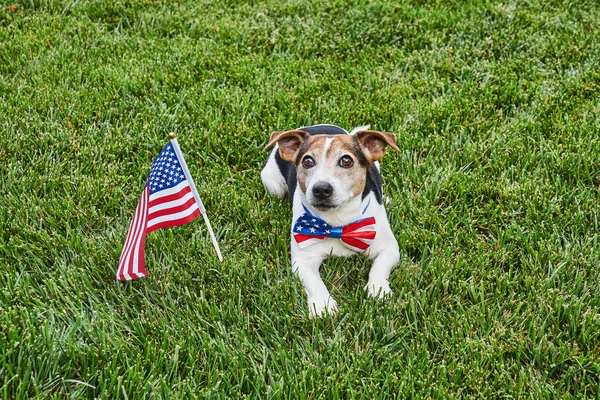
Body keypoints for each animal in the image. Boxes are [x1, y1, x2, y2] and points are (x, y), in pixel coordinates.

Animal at [262, 123, 398, 318]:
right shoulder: (303, 259)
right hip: (273, 187)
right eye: (307, 161)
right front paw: (322, 304)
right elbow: (314, 281)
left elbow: (380, 267)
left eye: (346, 161)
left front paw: (378, 290)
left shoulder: (390, 249)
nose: (321, 189)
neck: (337, 222)